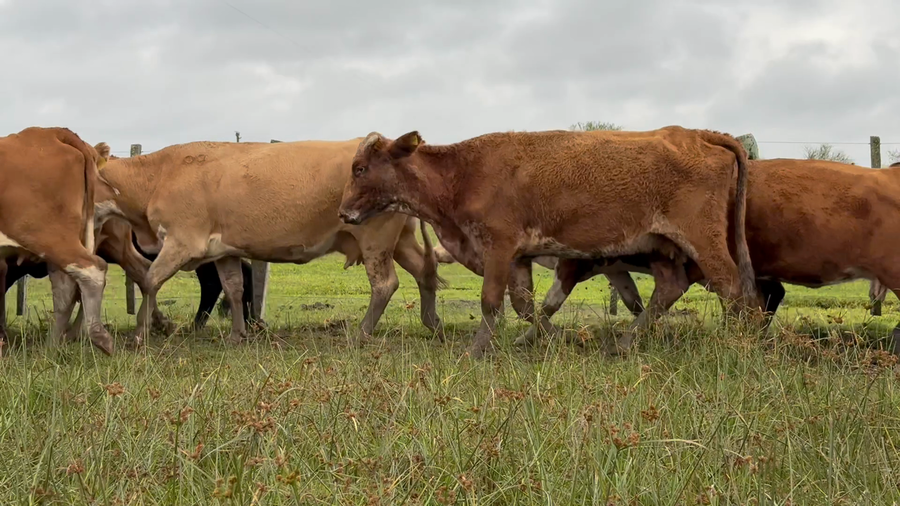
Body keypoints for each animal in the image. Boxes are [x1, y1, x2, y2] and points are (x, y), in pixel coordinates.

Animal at [0, 126, 115, 356]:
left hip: (45, 234)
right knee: (65, 289)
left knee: (93, 269)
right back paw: (51, 348)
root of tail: (50, 132)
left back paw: (100, 337)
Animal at [94, 139, 445, 347]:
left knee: (385, 284)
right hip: (401, 239)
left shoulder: (182, 243)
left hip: (375, 238)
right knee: (423, 271)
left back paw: (362, 332)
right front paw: (237, 334)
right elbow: (233, 287)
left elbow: (149, 280)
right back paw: (432, 322)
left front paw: (140, 334)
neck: (158, 175)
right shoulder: (223, 250)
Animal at [338, 126, 760, 358]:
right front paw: (558, 339)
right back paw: (624, 343)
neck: (463, 173)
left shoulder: (499, 247)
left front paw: (475, 350)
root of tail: (695, 135)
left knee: (732, 287)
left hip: (702, 240)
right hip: (661, 247)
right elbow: (527, 306)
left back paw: (739, 344)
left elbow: (492, 302)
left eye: (360, 168)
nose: (342, 213)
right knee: (671, 288)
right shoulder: (518, 259)